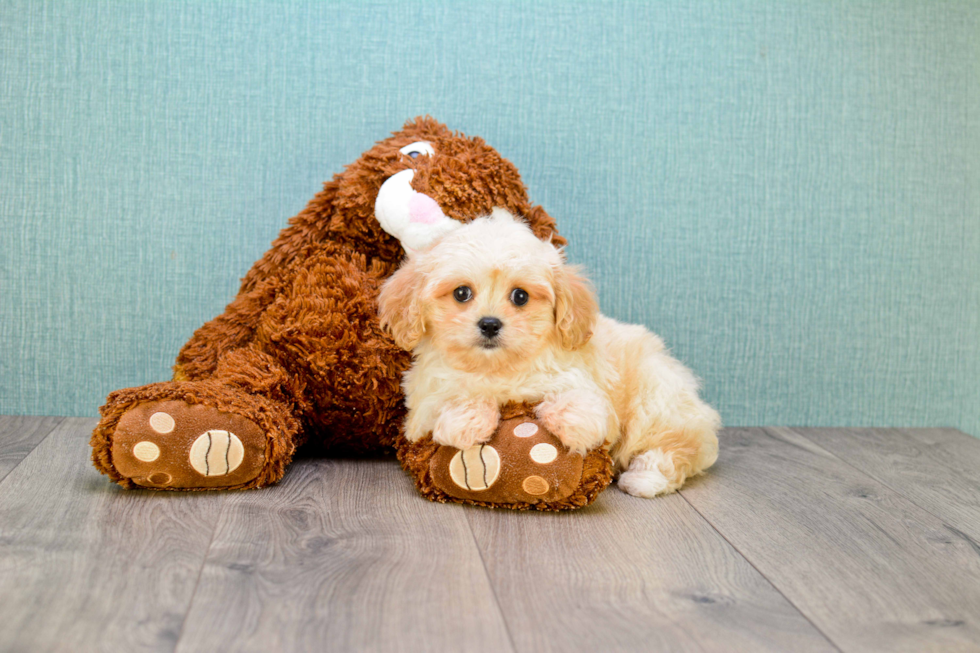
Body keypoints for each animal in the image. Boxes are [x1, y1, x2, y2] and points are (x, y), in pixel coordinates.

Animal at [378, 209, 724, 494]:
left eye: (520, 296)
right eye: (461, 293)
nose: (489, 324)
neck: (497, 367)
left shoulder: (581, 379)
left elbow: (581, 400)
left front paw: (572, 423)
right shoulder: (420, 407)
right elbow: (449, 400)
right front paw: (466, 423)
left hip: (656, 400)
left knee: (672, 447)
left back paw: (644, 479)